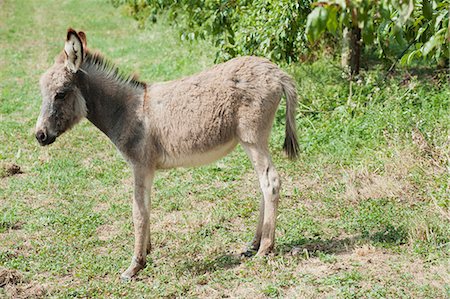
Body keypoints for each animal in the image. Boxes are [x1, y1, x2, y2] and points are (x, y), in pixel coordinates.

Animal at [35, 28, 298, 282]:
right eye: (42, 93)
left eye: (60, 94)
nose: (39, 135)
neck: (127, 111)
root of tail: (276, 72)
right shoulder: (146, 169)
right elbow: (146, 207)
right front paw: (146, 251)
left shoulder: (140, 165)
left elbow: (138, 211)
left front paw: (134, 266)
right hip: (251, 141)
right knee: (262, 184)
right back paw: (253, 244)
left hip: (253, 138)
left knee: (270, 182)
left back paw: (265, 248)